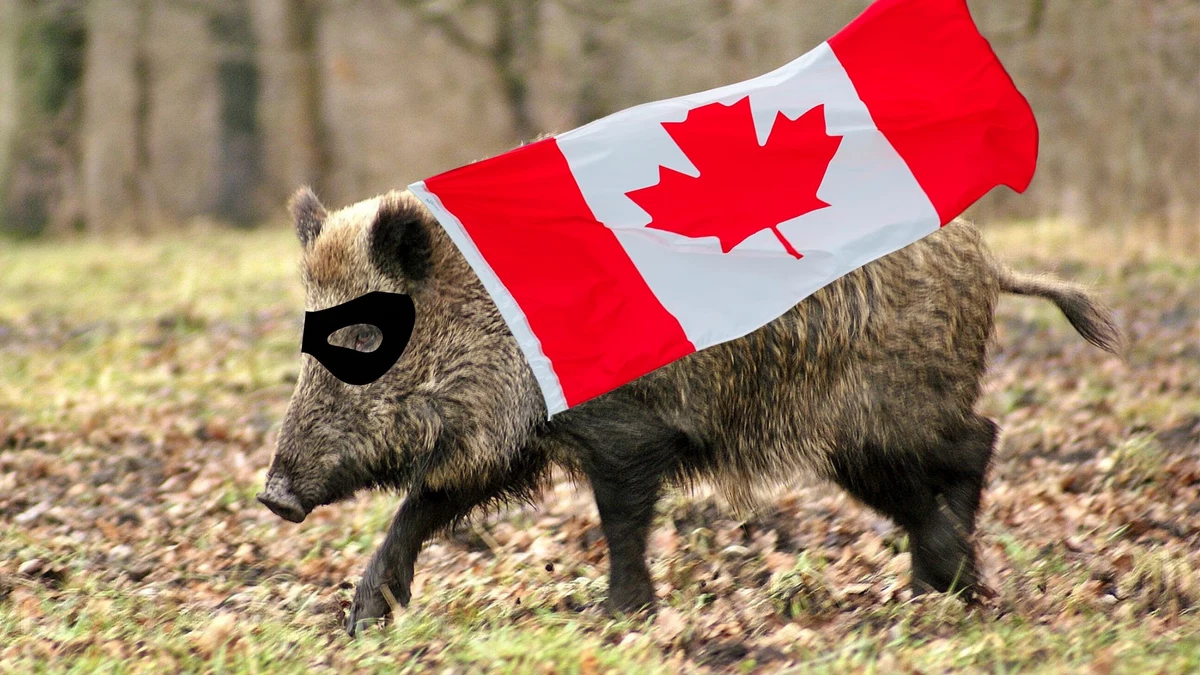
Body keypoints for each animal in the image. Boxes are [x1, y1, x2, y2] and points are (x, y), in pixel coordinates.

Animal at [257, 187, 1122, 636]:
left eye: (364, 337)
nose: (274, 494)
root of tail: (989, 259)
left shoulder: (626, 431)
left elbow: (621, 518)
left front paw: (619, 618)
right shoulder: (505, 440)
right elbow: (424, 503)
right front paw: (362, 620)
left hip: (883, 418)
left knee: (977, 441)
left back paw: (956, 587)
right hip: (876, 432)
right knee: (946, 470)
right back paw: (935, 590)